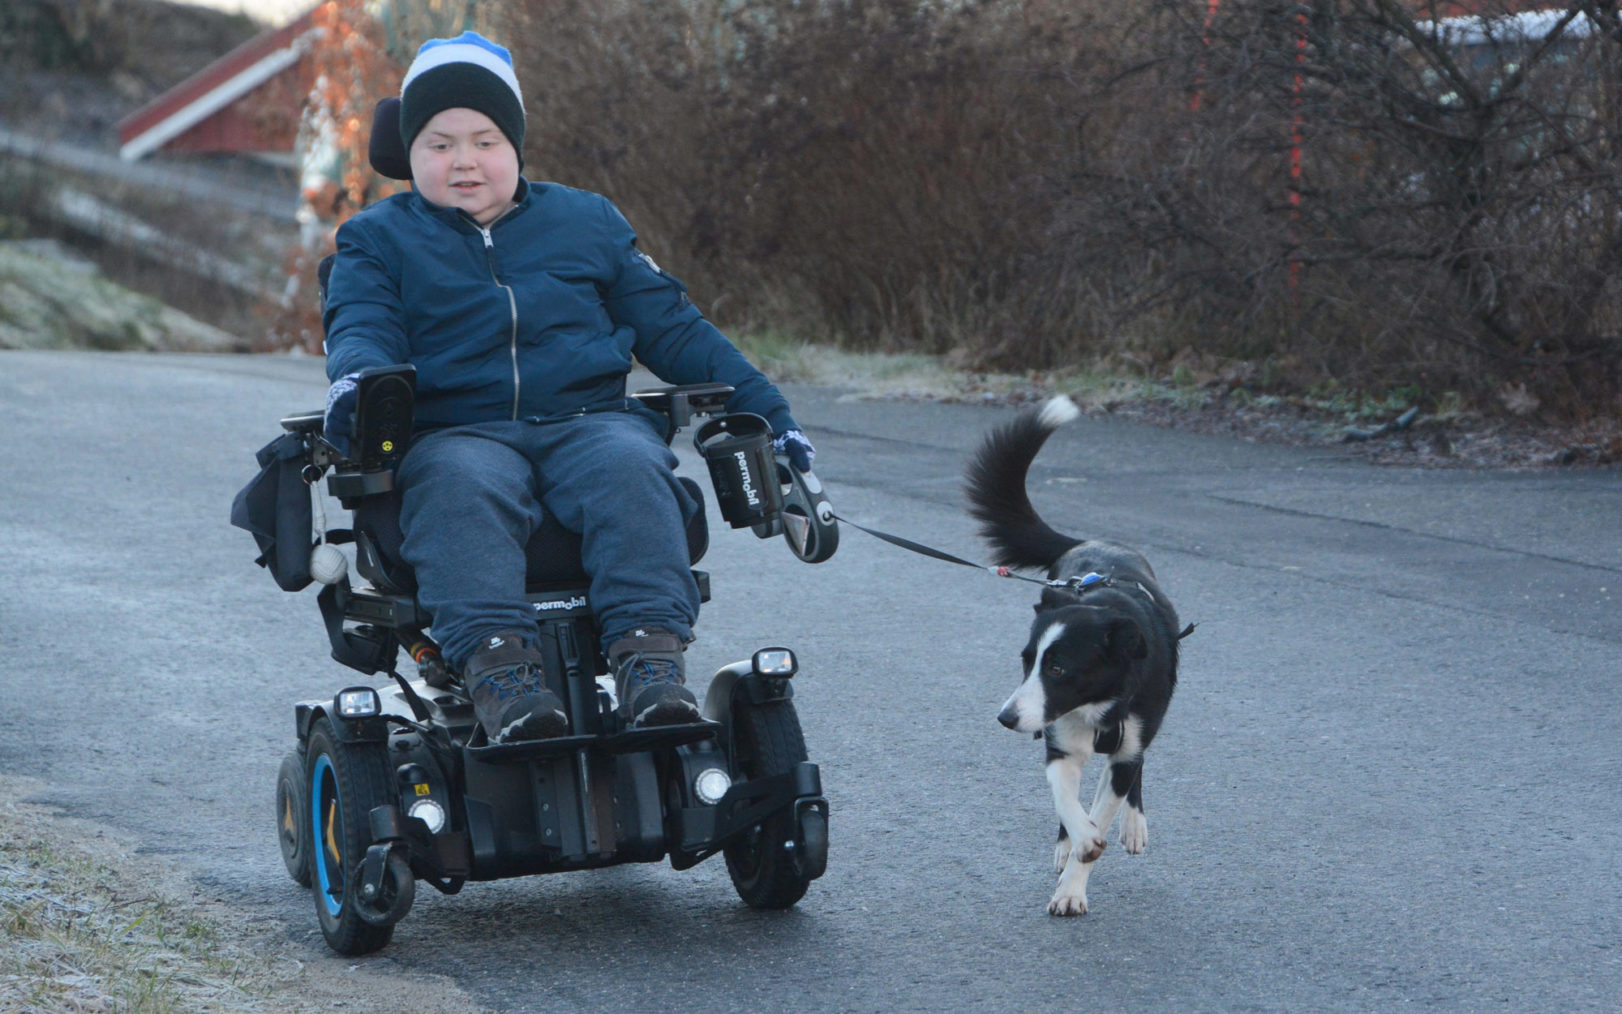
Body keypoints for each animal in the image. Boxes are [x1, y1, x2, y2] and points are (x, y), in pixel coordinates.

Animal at [966, 397, 1187, 915]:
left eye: (1058, 667)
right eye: (1026, 661)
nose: (1005, 718)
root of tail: (1090, 543)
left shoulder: (1129, 737)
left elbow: (1109, 799)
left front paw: (1073, 886)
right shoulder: (1058, 742)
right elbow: (1068, 801)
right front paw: (1078, 843)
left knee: (1133, 772)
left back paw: (1133, 825)